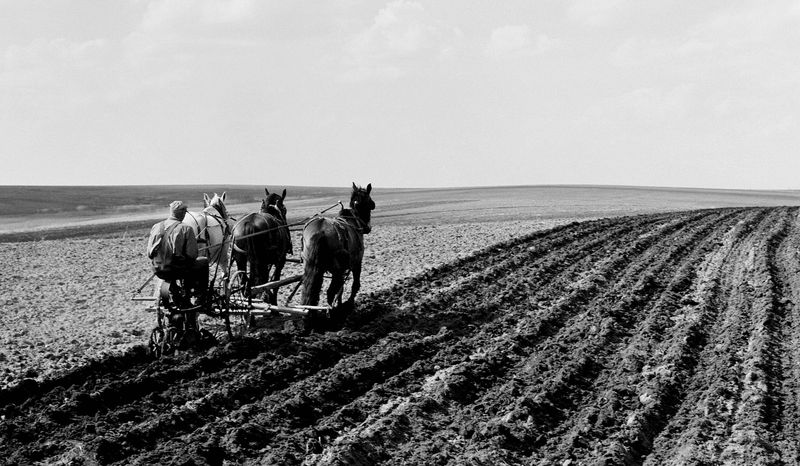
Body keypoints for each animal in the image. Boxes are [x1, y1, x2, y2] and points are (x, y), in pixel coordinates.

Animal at [300, 182, 376, 314]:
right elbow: (355, 285)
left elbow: (340, 289)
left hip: (313, 266)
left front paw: (340, 304)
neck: (353, 221)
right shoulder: (357, 263)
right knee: (330, 292)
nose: (374, 204)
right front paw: (349, 303)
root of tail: (320, 231)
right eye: (370, 201)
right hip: (337, 270)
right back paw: (332, 312)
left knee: (311, 290)